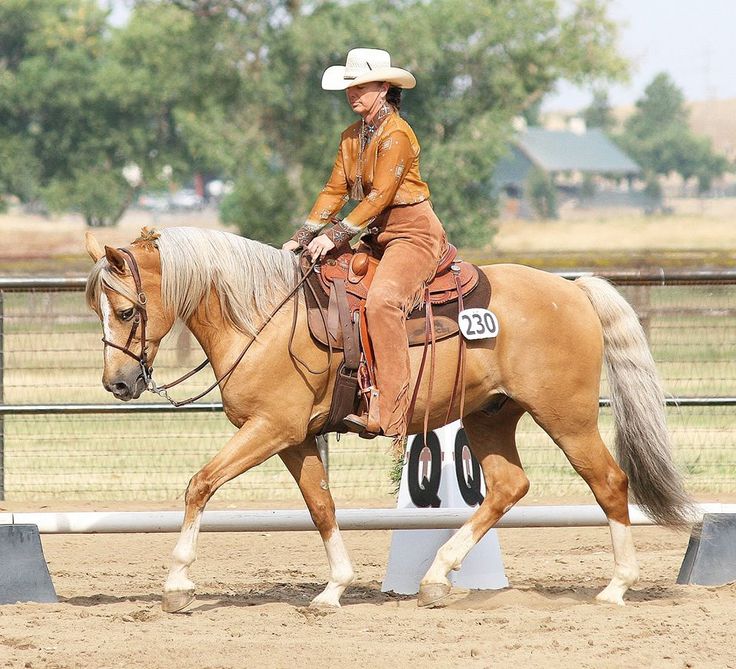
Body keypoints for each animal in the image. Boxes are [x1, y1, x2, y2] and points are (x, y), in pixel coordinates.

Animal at [83, 228, 692, 612]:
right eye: (97, 310)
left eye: (127, 311)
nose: (119, 384)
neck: (262, 317)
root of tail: (572, 289)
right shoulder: (294, 439)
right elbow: (321, 506)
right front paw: (334, 588)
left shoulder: (271, 429)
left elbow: (200, 484)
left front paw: (177, 583)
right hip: (490, 417)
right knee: (508, 487)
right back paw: (437, 576)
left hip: (568, 418)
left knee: (609, 483)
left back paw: (616, 587)